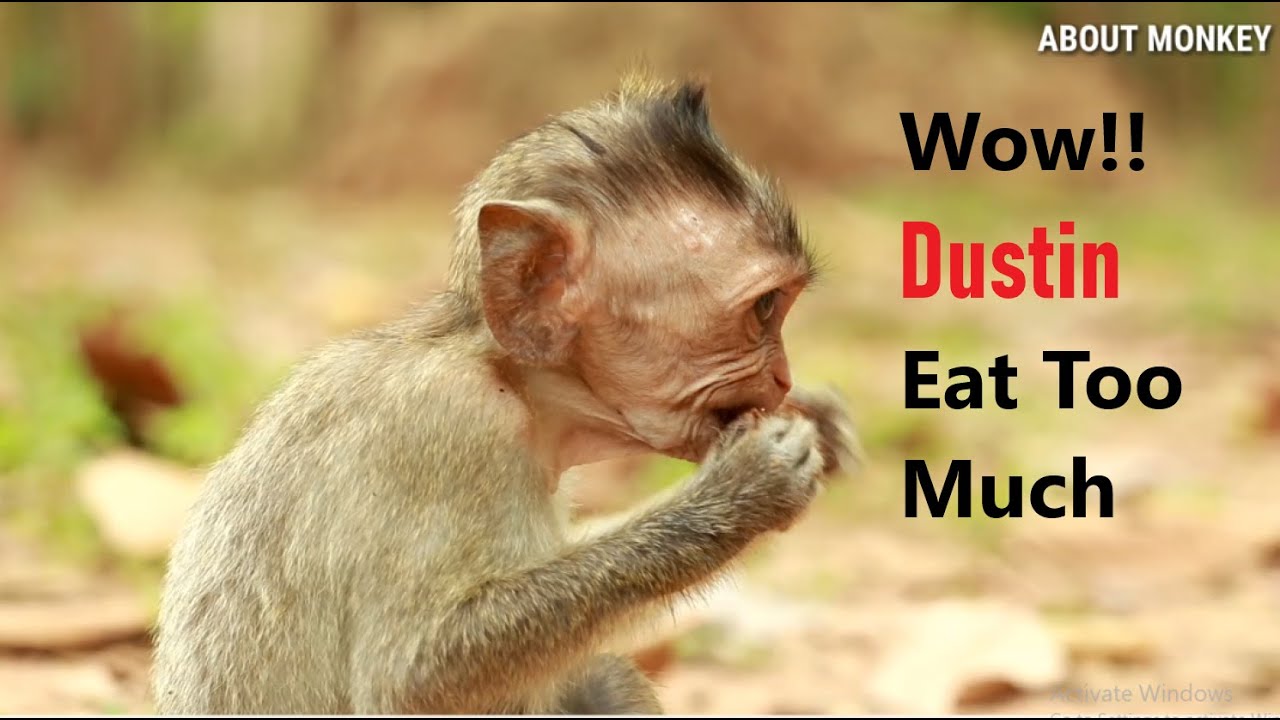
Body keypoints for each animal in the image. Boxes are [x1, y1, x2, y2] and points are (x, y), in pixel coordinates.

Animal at [151, 73, 857, 715]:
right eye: (765, 308)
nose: (782, 378)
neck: (512, 376)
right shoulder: (447, 428)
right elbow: (411, 674)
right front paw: (744, 491)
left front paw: (816, 423)